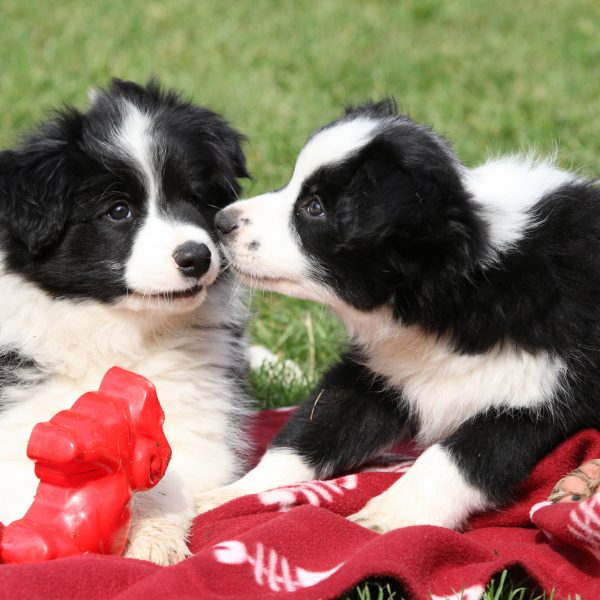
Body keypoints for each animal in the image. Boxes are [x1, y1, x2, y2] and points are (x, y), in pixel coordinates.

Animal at [0, 79, 251, 564]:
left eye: (195, 198)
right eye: (118, 211)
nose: (196, 257)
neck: (119, 332)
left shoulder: (202, 428)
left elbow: (165, 473)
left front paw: (154, 541)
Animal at [199, 99, 600, 536]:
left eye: (315, 208)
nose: (221, 222)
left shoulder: (540, 392)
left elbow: (458, 456)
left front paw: (389, 516)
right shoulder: (378, 371)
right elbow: (312, 427)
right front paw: (229, 495)